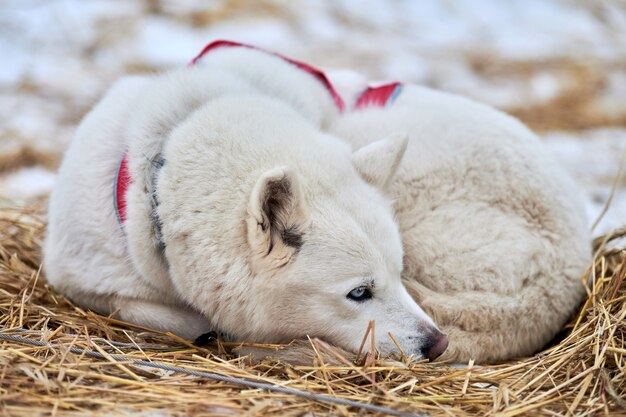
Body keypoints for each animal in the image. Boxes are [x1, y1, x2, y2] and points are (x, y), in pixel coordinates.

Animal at [45, 40, 588, 362]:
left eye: (398, 272)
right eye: (359, 292)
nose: (437, 344)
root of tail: (566, 269)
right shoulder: (78, 273)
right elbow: (140, 307)